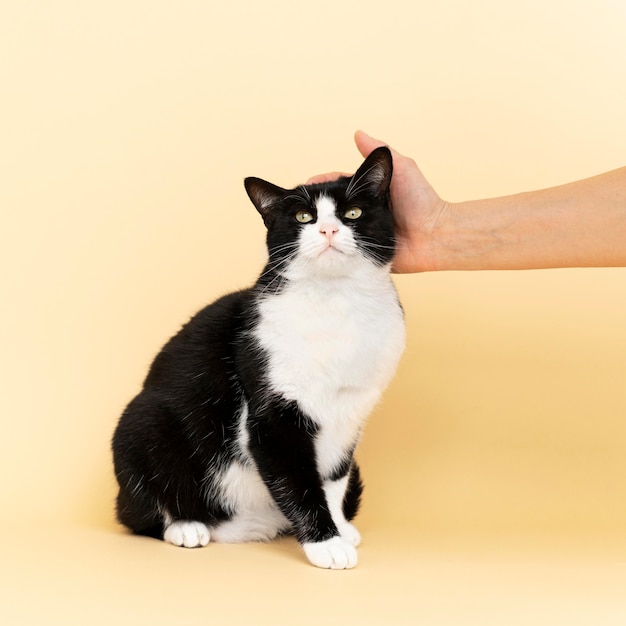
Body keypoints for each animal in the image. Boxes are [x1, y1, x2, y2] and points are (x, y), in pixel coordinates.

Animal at [111, 145, 404, 564]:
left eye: (353, 213)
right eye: (303, 217)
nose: (328, 230)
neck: (336, 303)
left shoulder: (351, 413)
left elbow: (333, 476)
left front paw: (339, 528)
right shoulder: (271, 412)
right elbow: (297, 477)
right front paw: (326, 544)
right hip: (142, 421)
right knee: (139, 511)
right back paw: (187, 526)